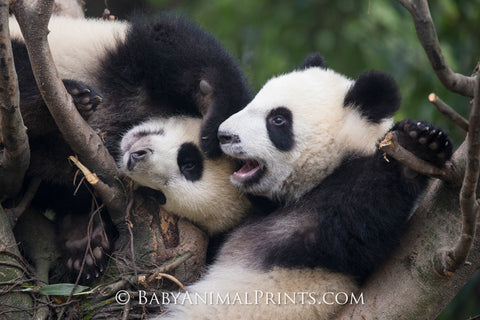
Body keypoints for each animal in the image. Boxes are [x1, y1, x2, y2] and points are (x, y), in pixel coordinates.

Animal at [156, 53, 452, 318]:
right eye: (254, 101)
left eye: (278, 119)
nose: (224, 135)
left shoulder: (338, 224)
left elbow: (371, 210)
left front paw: (419, 144)